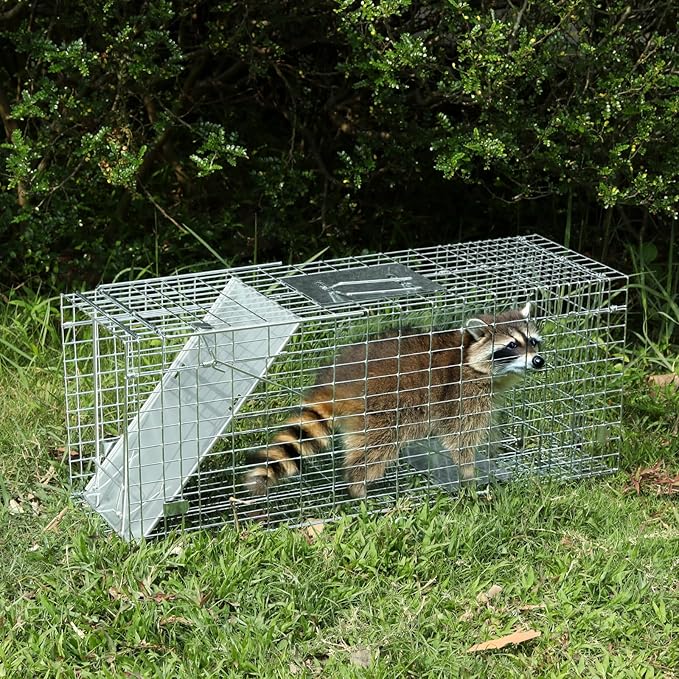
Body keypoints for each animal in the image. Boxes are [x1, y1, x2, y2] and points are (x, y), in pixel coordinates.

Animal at [244, 303, 545, 499]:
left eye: (532, 341)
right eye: (512, 345)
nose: (539, 361)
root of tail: (336, 382)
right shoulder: (461, 394)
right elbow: (459, 439)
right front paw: (469, 476)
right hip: (383, 409)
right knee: (375, 451)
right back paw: (358, 488)